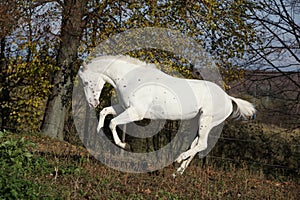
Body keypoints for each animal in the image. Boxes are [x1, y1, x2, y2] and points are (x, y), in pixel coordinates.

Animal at [78, 54, 255, 175]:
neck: (132, 78)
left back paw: (178, 160)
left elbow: (113, 122)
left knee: (202, 144)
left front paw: (123, 145)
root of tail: (228, 98)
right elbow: (105, 112)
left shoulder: (136, 112)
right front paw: (101, 134)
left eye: (86, 82)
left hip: (206, 120)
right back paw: (178, 171)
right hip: (197, 121)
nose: (92, 103)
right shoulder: (125, 108)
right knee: (196, 144)